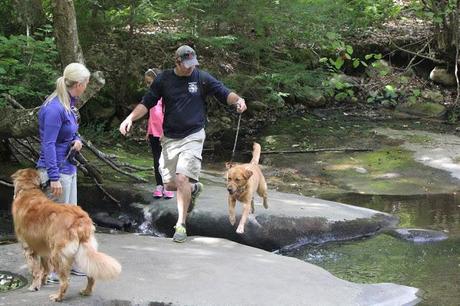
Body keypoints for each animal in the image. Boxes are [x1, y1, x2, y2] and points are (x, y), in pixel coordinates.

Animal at [11, 169, 121, 302]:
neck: (28, 189)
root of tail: (80, 218)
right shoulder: (43, 250)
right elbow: (45, 268)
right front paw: (43, 281)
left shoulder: (29, 249)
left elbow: (35, 271)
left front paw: (34, 286)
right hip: (82, 252)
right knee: (91, 274)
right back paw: (86, 291)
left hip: (58, 254)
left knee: (65, 281)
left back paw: (57, 296)